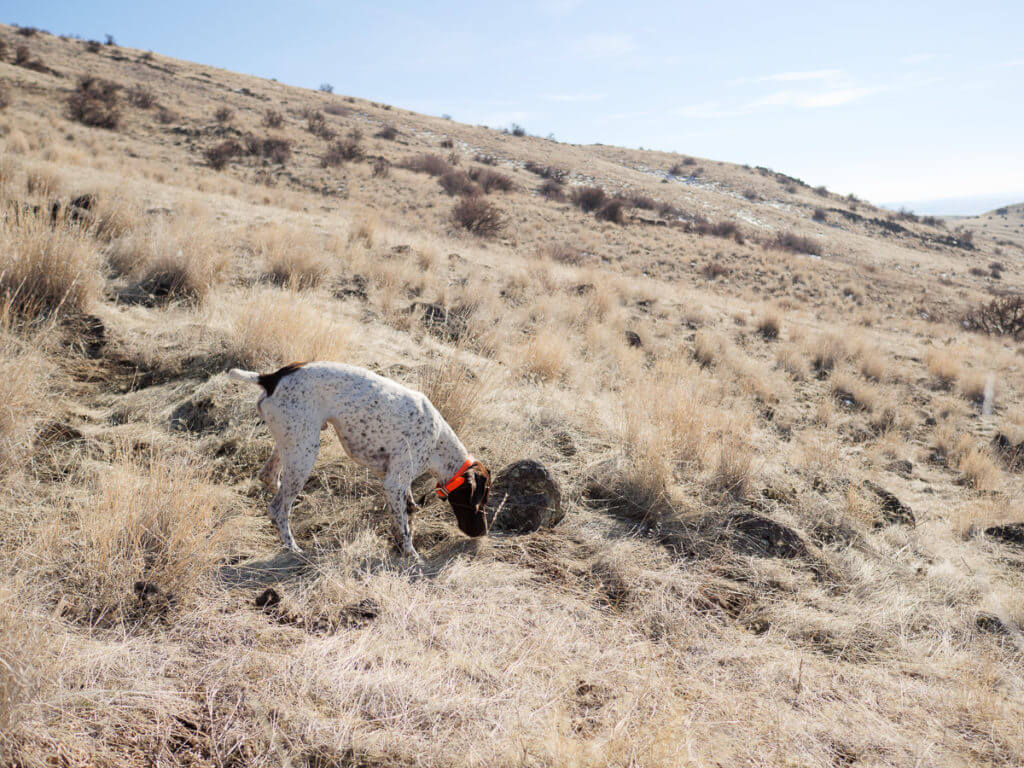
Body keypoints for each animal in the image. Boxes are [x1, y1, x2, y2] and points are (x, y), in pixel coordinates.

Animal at [228, 360, 491, 561]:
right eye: (480, 503)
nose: (483, 532)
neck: (438, 441)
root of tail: (272, 377)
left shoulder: (398, 483)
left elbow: (406, 514)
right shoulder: (394, 483)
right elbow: (405, 528)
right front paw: (412, 556)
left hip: (291, 444)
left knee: (269, 477)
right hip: (304, 451)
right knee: (278, 509)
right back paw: (291, 547)